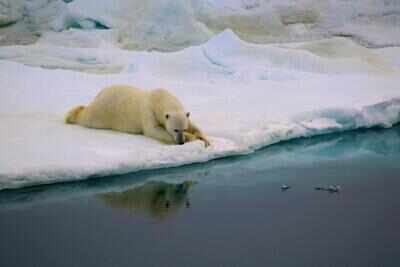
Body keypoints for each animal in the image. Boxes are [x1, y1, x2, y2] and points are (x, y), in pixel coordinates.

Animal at [64, 85, 211, 147]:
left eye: (183, 128)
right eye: (175, 130)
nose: (181, 142)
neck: (159, 98)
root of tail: (100, 94)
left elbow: (193, 124)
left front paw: (205, 139)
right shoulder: (148, 111)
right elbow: (153, 130)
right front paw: (192, 137)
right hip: (103, 112)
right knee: (86, 116)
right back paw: (71, 115)